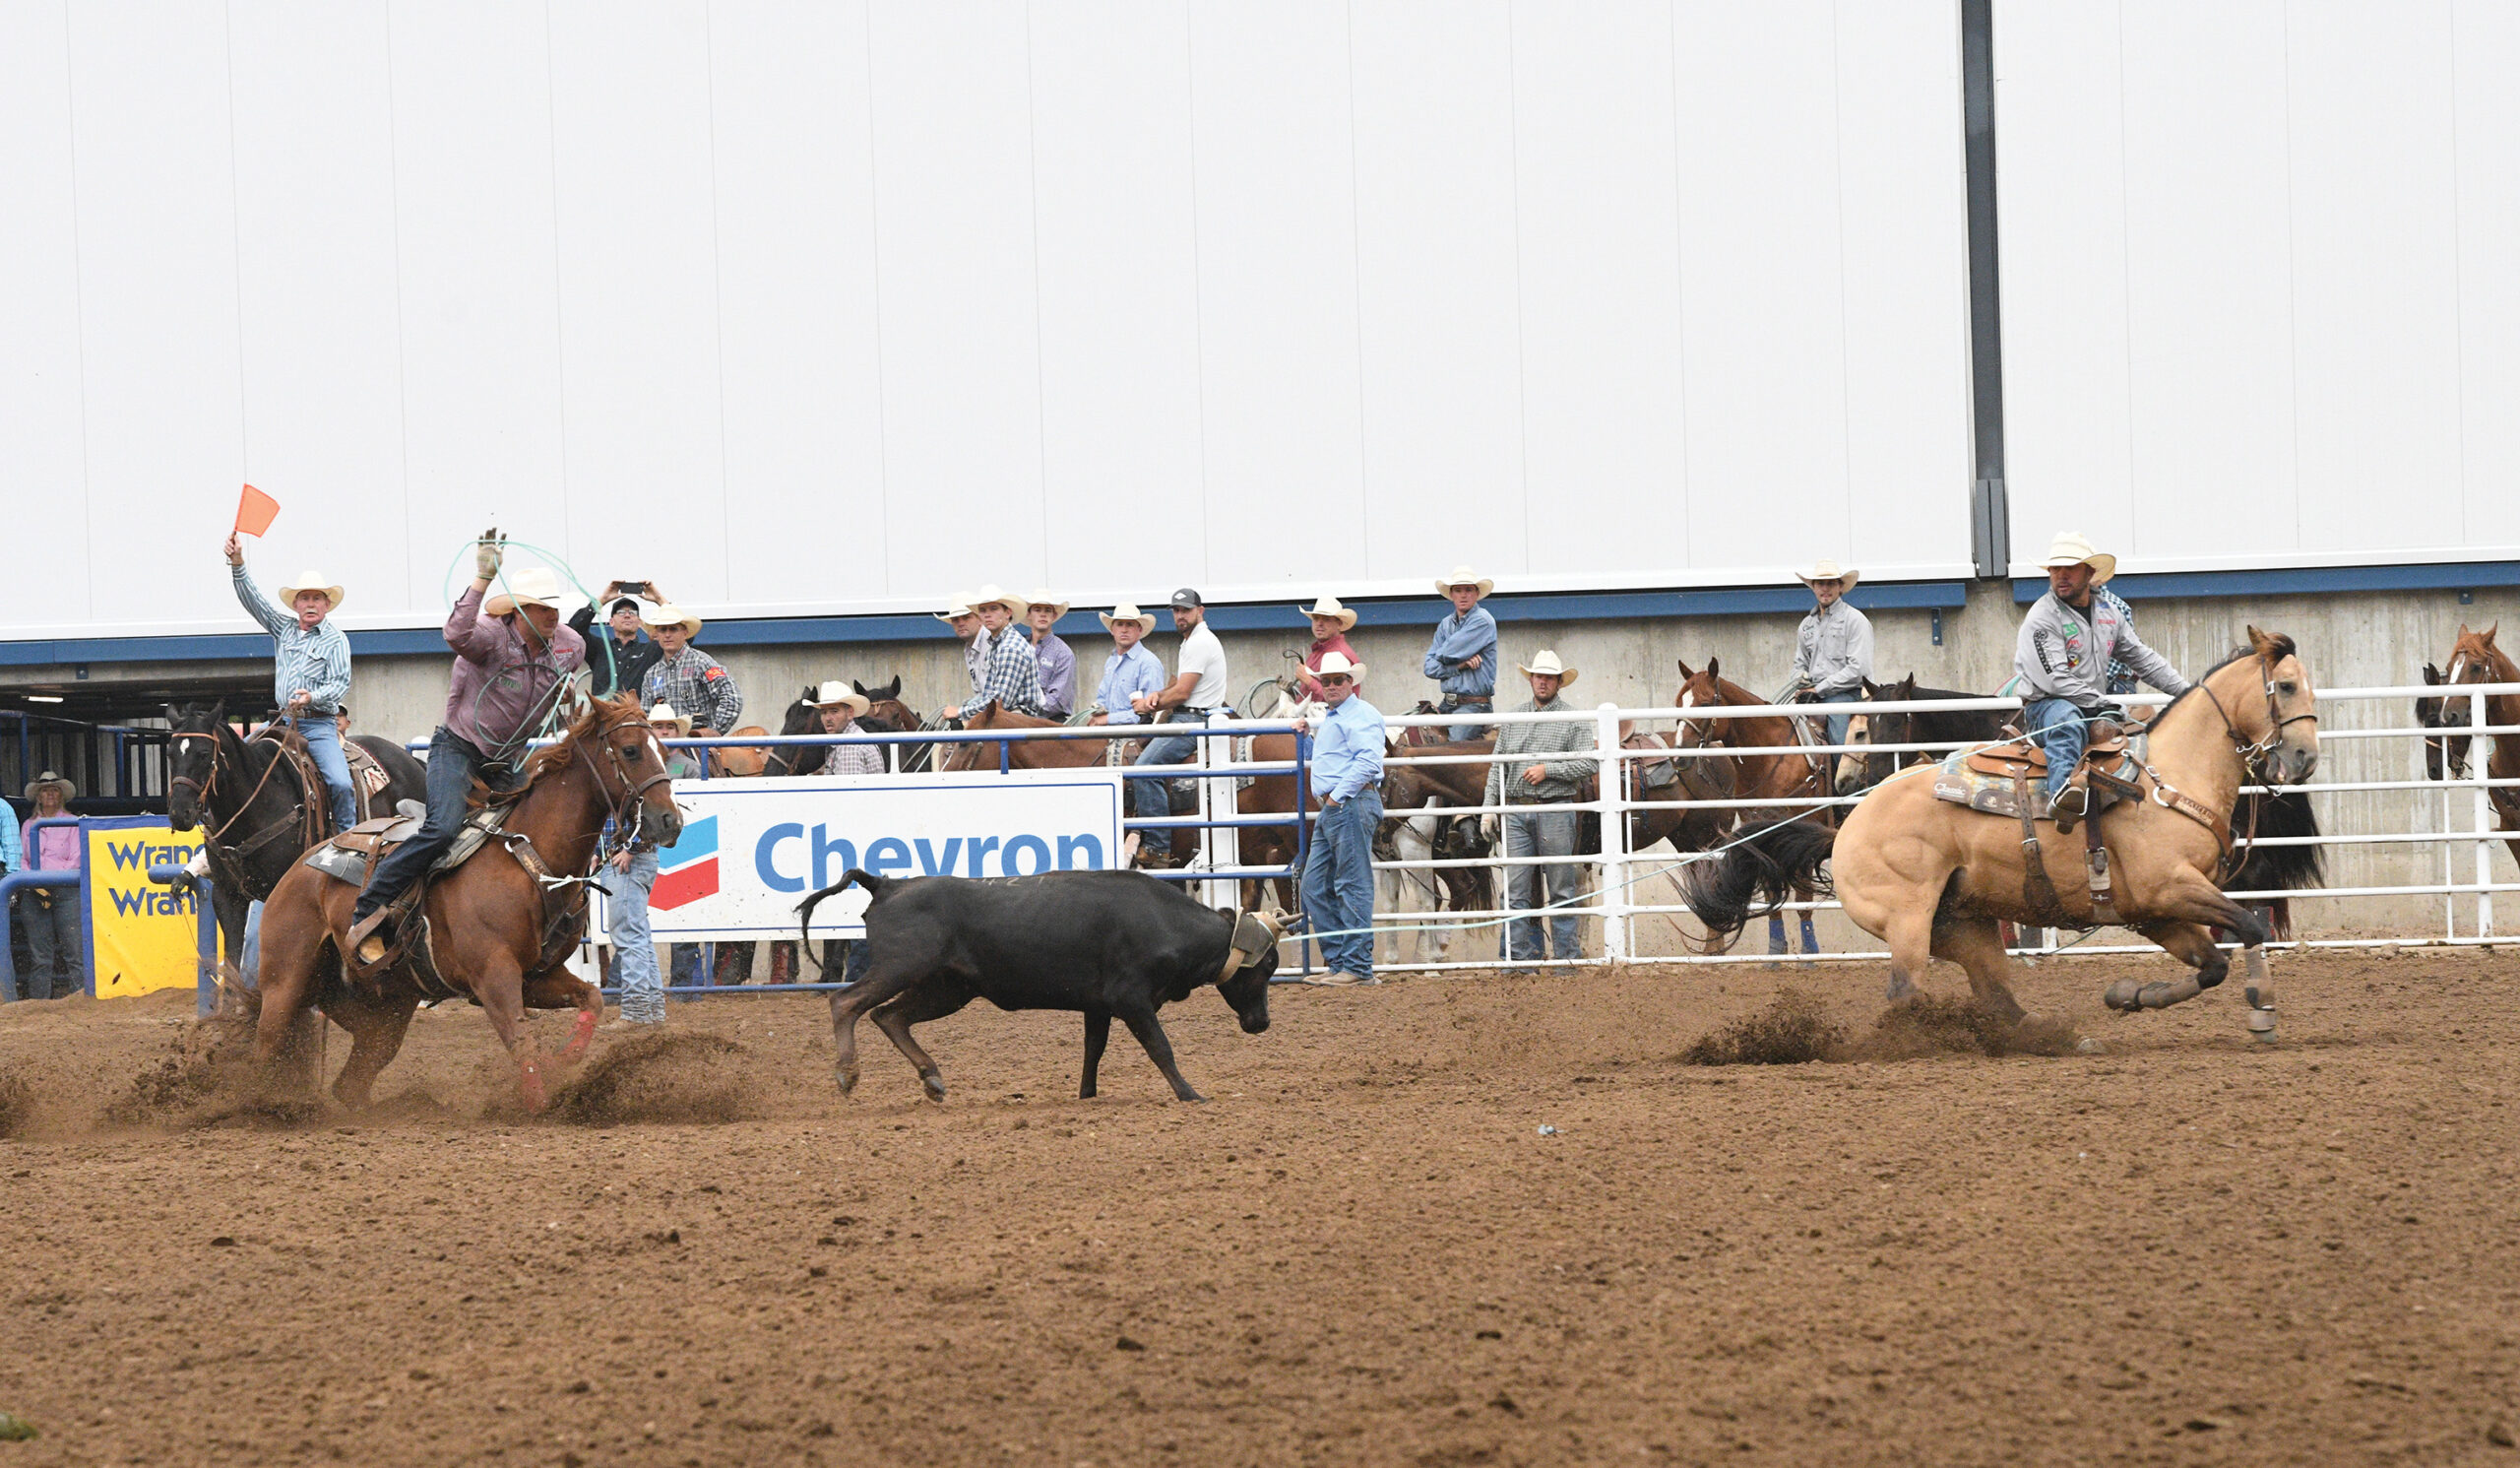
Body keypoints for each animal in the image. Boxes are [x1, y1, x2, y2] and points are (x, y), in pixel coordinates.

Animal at [167, 706, 425, 1013]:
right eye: (169, 752)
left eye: (204, 753)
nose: (179, 813)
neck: (255, 804)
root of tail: (411, 761)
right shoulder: (226, 895)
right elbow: (232, 958)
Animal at [248, 696, 680, 1110]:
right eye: (630, 751)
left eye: (662, 748)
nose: (669, 821)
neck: (530, 859)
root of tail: (300, 867)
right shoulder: (493, 975)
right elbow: (520, 1040)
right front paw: (540, 1104)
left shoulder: (536, 976)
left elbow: (591, 998)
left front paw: (564, 1060)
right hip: (284, 981)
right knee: (266, 1049)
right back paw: (263, 1105)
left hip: (387, 1007)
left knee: (352, 1080)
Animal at [1683, 635, 2307, 1034]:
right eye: (2286, 687)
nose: (2302, 757)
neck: (2165, 778)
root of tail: (1847, 827)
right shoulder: (2171, 889)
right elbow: (2248, 927)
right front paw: (2262, 1009)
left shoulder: (2155, 909)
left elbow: (2215, 962)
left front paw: (2129, 995)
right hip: (1909, 921)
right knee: (1905, 995)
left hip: (1963, 927)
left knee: (1996, 998)